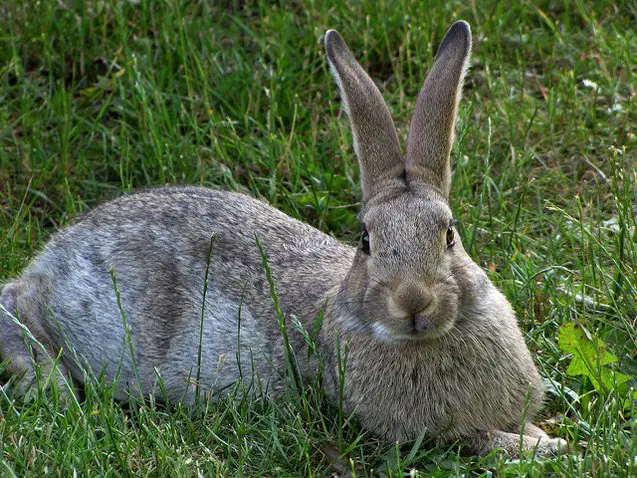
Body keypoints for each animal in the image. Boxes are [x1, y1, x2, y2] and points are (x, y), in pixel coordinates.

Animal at [0, 21, 564, 456]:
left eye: (449, 234)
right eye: (365, 240)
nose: (413, 301)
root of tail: (53, 256)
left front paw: (540, 436)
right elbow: (475, 439)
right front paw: (544, 447)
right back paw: (51, 384)